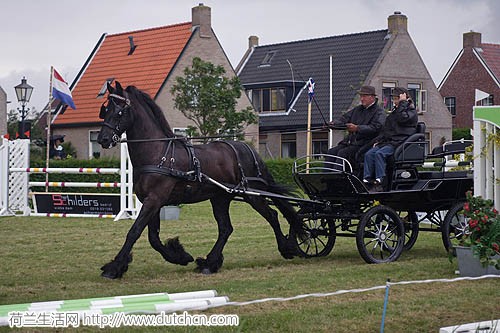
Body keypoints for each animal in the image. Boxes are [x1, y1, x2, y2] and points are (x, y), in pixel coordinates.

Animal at [95, 81, 302, 278]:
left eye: (119, 111)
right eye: (105, 111)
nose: (102, 139)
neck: (158, 153)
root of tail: (248, 149)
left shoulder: (154, 199)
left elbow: (135, 231)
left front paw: (113, 268)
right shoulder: (151, 201)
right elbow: (153, 238)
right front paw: (179, 256)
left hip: (252, 195)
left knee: (272, 215)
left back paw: (287, 248)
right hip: (220, 198)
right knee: (226, 228)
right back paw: (209, 263)